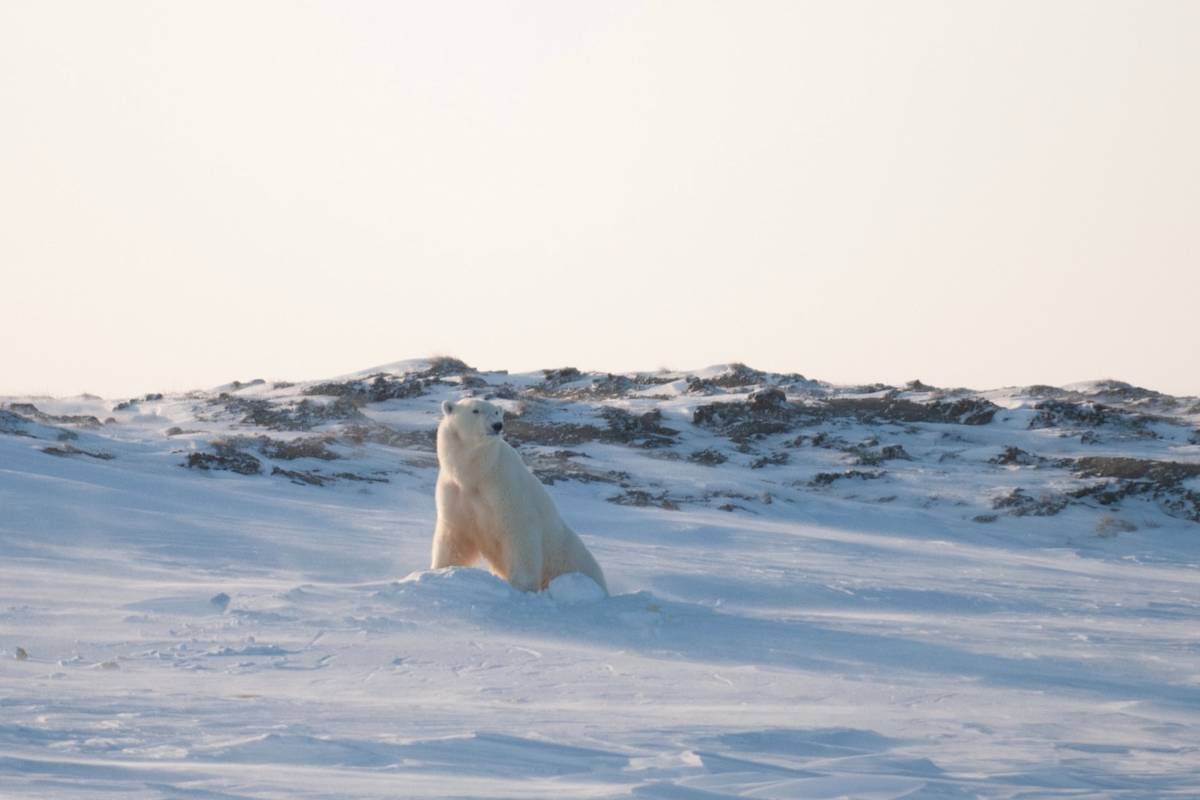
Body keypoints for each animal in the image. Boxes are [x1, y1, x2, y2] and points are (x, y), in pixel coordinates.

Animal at [431, 397, 608, 594]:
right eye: (475, 410)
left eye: (496, 412)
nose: (497, 425)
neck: (478, 473)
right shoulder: (455, 491)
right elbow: (455, 537)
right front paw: (440, 571)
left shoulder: (505, 488)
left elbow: (519, 532)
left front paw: (521, 586)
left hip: (569, 560)